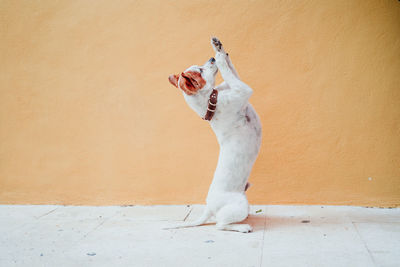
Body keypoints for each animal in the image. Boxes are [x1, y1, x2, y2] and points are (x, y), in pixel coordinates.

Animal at [166, 36, 262, 233]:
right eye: (201, 71)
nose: (210, 58)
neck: (211, 101)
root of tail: (208, 208)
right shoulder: (243, 89)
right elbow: (227, 71)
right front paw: (219, 57)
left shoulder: (234, 83)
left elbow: (232, 70)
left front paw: (219, 47)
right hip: (240, 204)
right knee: (220, 225)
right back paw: (243, 227)